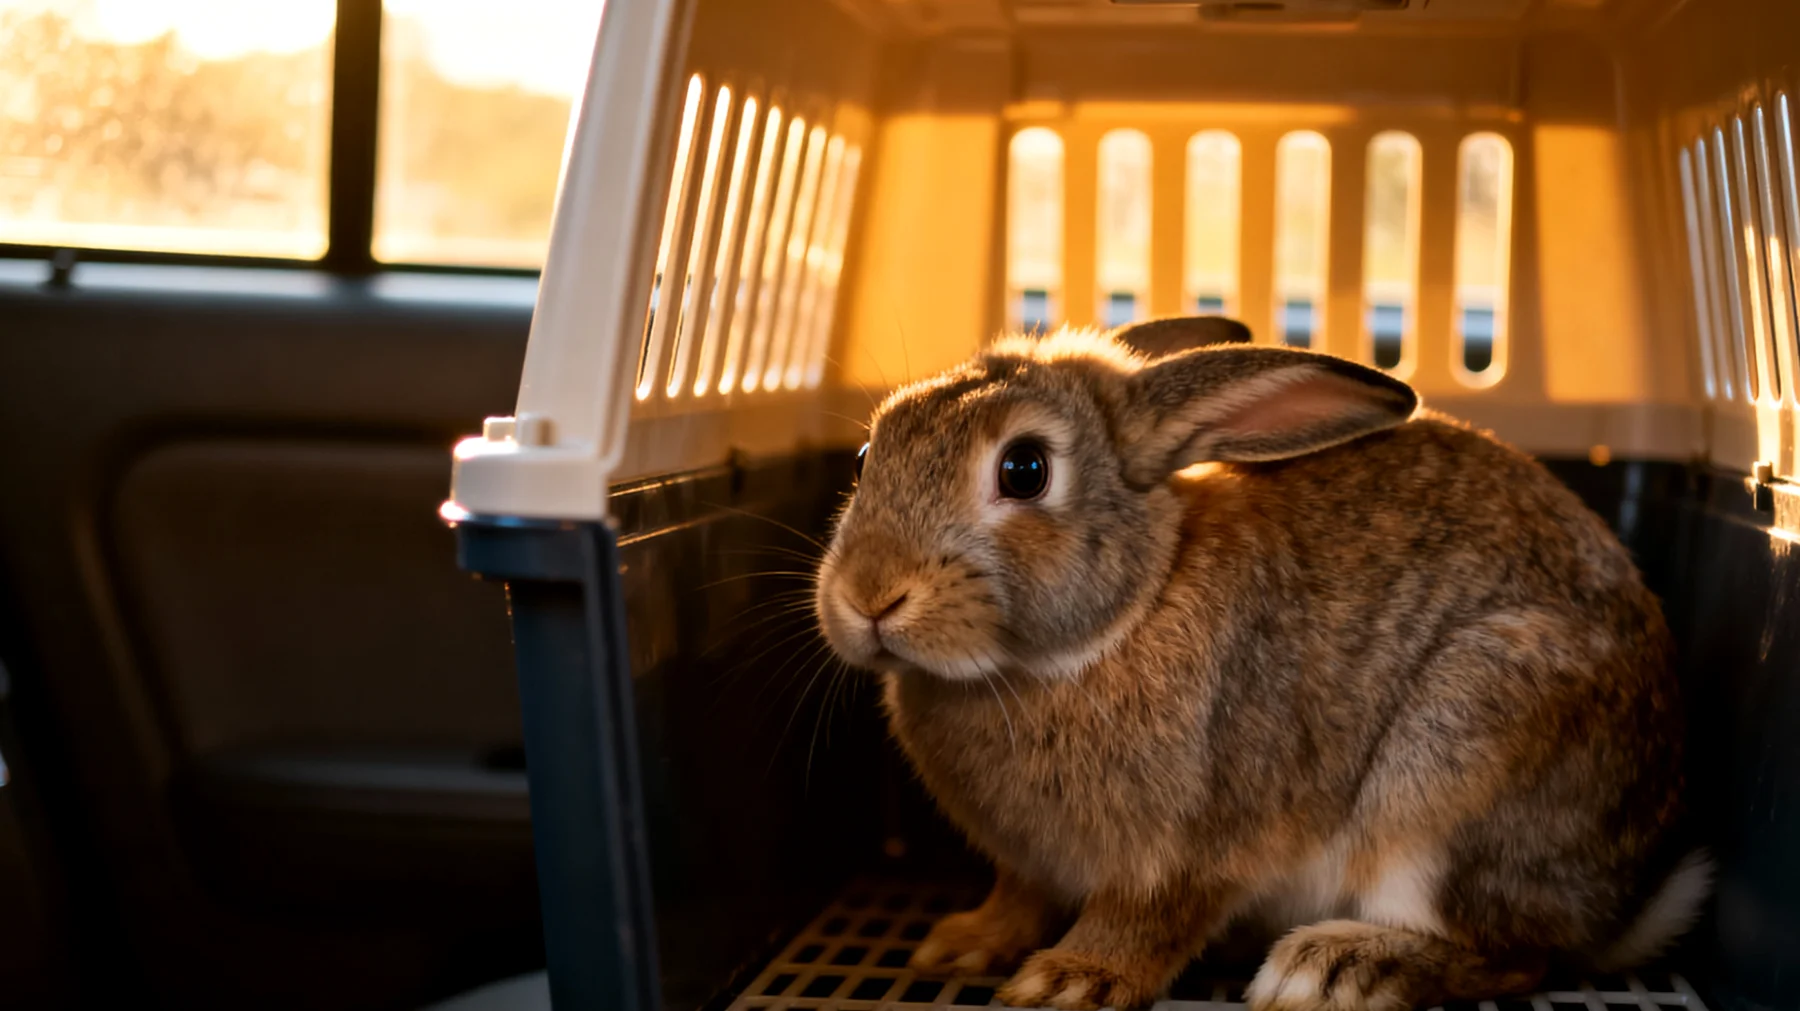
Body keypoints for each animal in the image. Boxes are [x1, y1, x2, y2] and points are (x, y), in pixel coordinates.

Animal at [811, 316, 1708, 1011]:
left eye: (1025, 469)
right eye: (863, 457)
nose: (870, 595)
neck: (1122, 614)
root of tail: (1617, 901)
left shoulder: (1193, 849)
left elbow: (1148, 919)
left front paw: (1065, 979)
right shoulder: (1025, 865)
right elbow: (1018, 896)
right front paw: (961, 943)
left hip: (1457, 766)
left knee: (1517, 953)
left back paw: (1339, 968)